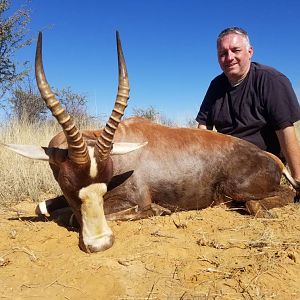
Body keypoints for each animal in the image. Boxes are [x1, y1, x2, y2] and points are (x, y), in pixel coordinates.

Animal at [3, 32, 298, 253]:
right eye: (65, 181)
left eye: (106, 178)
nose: (101, 243)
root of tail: (271, 159)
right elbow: (41, 206)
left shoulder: (135, 199)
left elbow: (79, 215)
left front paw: (157, 210)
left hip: (236, 190)